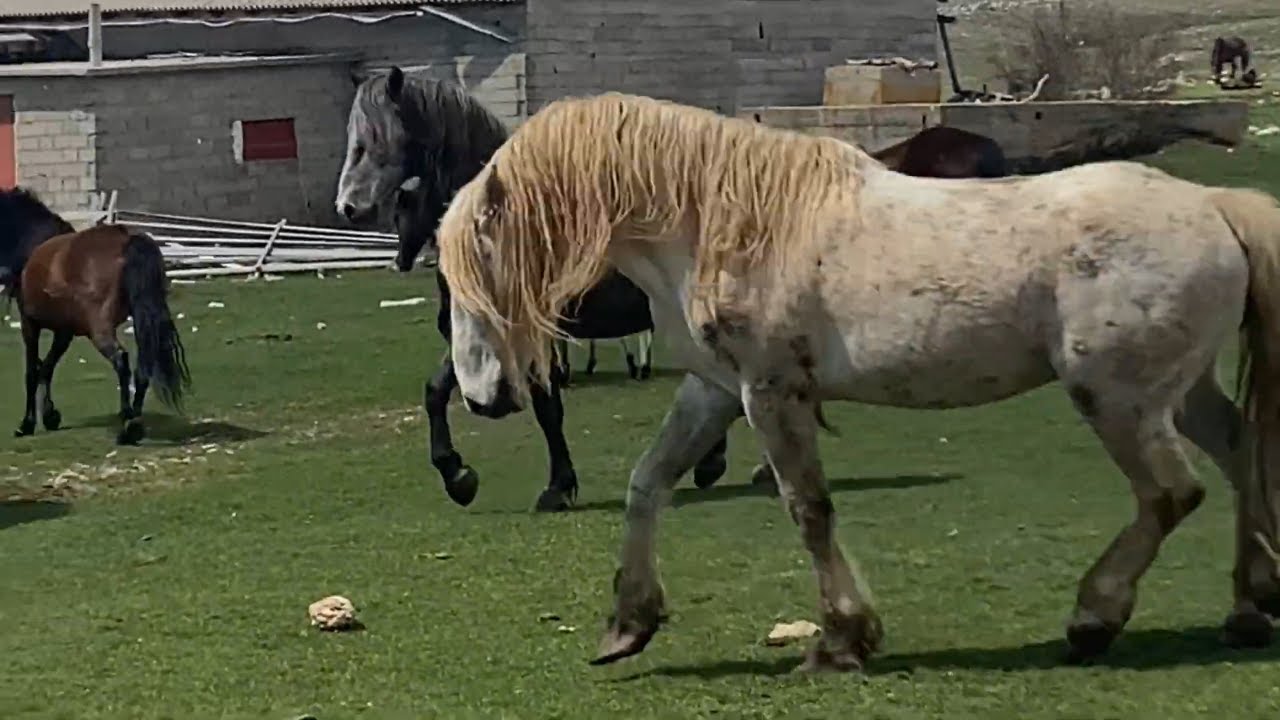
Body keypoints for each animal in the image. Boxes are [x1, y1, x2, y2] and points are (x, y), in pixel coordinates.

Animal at [0, 188, 191, 445]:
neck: (34, 242)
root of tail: (128, 241)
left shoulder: (30, 324)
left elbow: (32, 371)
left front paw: (27, 424)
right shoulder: (64, 332)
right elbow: (46, 367)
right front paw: (50, 416)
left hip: (99, 330)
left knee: (121, 361)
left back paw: (127, 425)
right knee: (142, 367)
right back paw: (135, 425)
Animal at [335, 68, 728, 512]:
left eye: (372, 141)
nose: (347, 207)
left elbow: (546, 406)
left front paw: (558, 487)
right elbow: (436, 391)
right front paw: (458, 477)